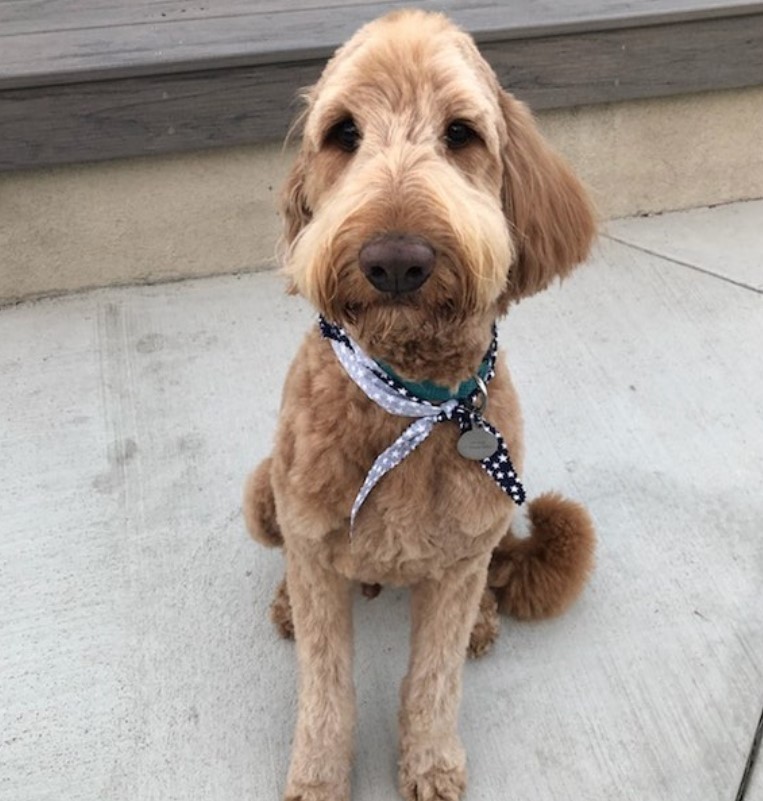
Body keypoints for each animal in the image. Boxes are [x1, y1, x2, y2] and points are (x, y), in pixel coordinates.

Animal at [245, 7, 596, 800]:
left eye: (460, 133)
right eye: (343, 133)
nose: (396, 260)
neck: (410, 400)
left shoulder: (462, 557)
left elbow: (432, 680)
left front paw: (431, 762)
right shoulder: (314, 552)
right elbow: (326, 687)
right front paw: (318, 778)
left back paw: (482, 623)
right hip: (263, 494)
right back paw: (283, 604)